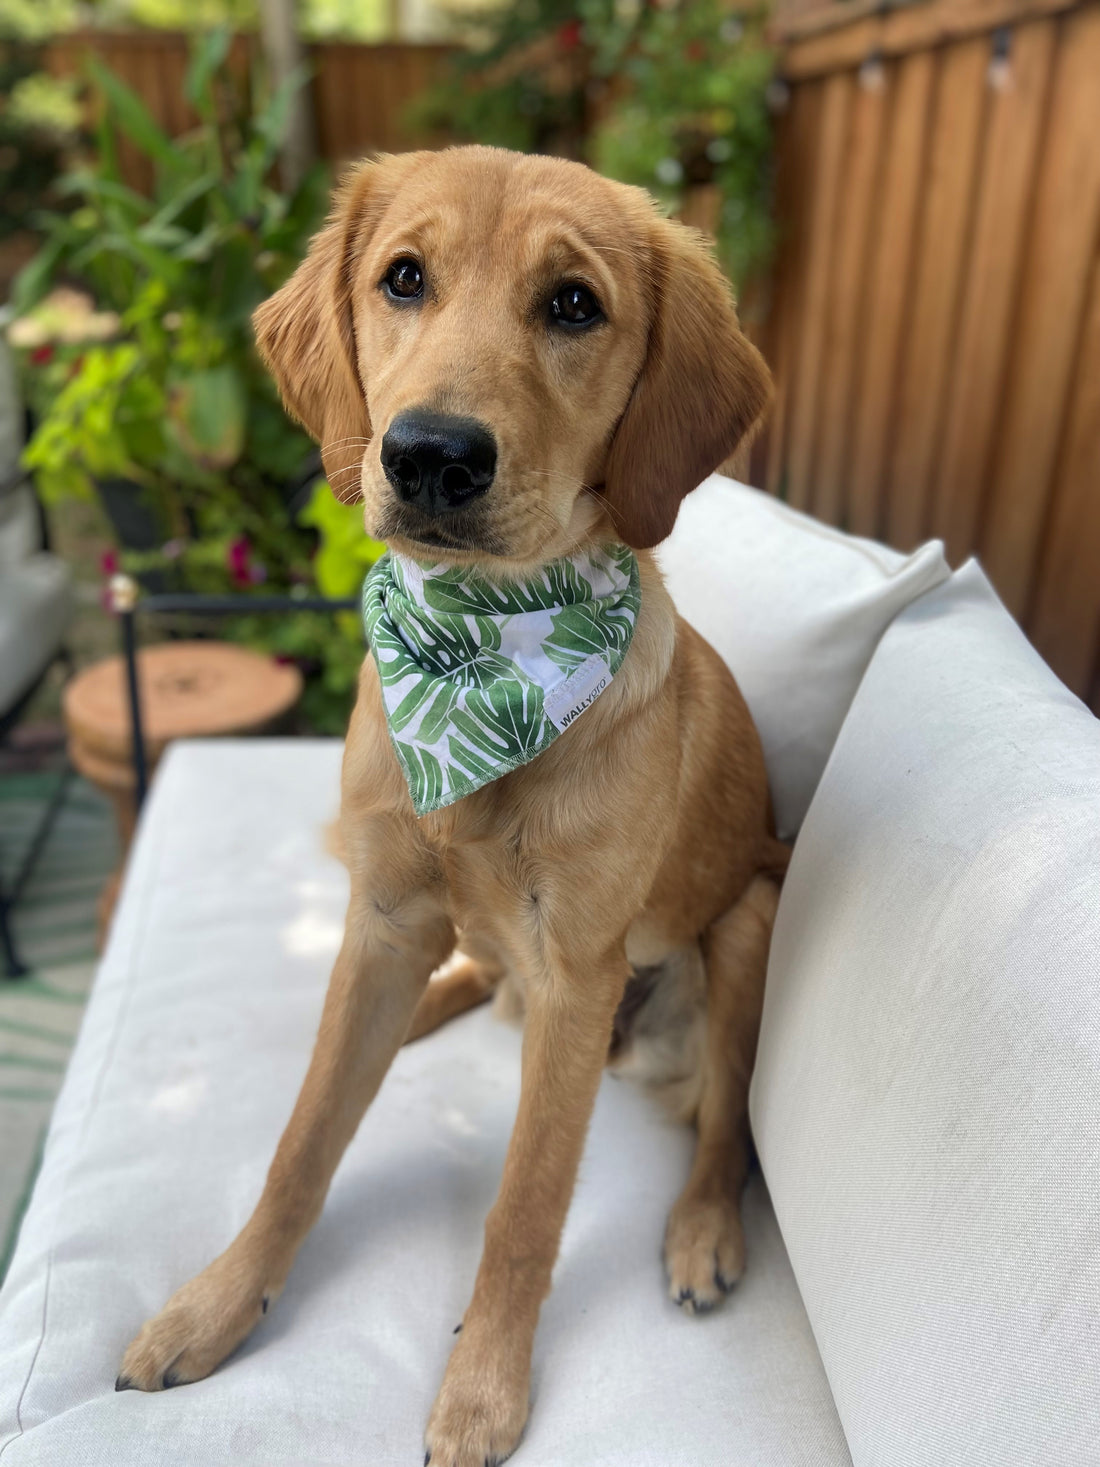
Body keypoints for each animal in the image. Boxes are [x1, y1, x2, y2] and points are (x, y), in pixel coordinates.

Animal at [120, 148, 786, 1467]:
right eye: (403, 278)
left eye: (573, 305)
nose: (430, 455)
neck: (476, 662)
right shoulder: (379, 915)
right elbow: (301, 1143)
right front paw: (213, 1306)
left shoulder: (574, 977)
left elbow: (524, 1206)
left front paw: (480, 1392)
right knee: (460, 982)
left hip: (743, 918)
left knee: (723, 1121)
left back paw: (700, 1230)